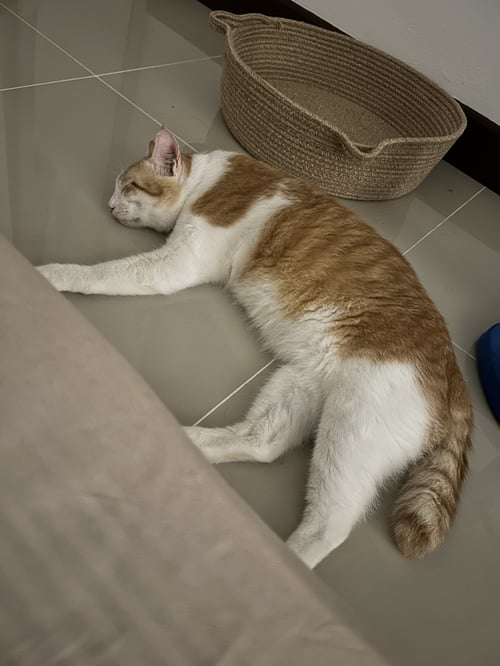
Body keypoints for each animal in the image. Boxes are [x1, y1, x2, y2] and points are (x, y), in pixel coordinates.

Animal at [38, 128, 472, 568]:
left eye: (128, 186)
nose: (110, 203)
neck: (205, 179)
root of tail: (455, 376)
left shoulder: (175, 263)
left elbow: (99, 273)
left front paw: (52, 275)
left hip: (352, 428)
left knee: (329, 525)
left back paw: (287, 563)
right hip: (301, 382)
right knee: (261, 441)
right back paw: (186, 441)